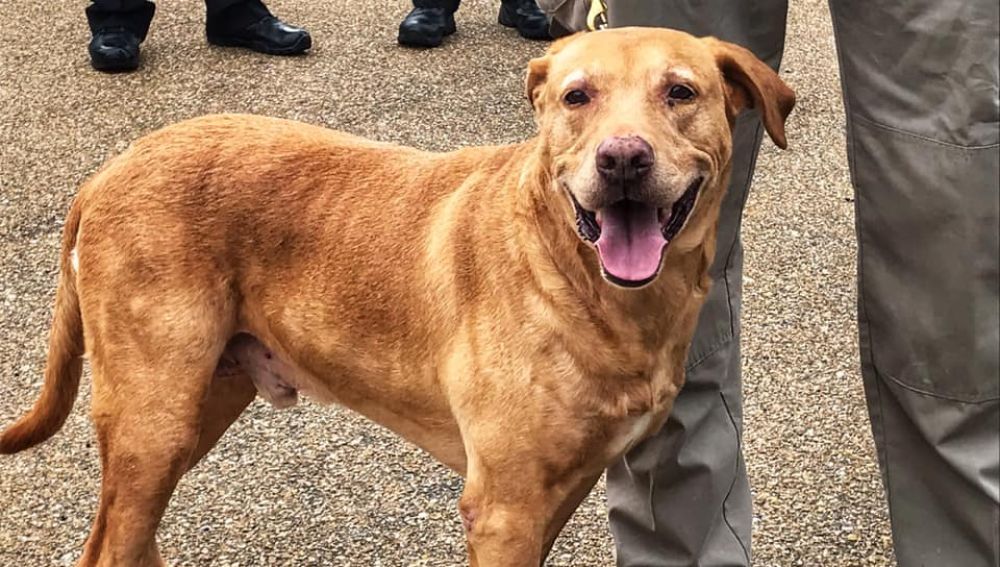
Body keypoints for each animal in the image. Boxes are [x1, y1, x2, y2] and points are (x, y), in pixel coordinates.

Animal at [3, 27, 792, 567]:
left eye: (680, 92)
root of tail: (109, 169)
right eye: (578, 97)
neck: (587, 284)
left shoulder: (555, 494)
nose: (622, 159)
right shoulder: (503, 507)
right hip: (155, 417)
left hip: (200, 404)